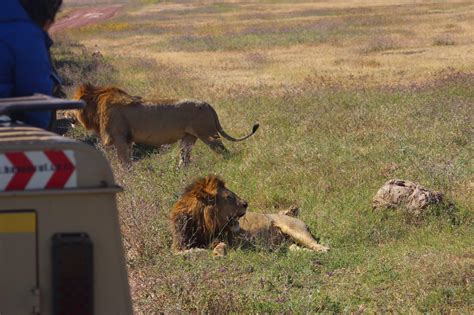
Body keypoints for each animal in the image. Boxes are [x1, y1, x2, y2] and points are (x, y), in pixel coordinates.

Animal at [70, 84, 260, 168]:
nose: (66, 116)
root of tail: (207, 104)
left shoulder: (120, 139)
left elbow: (124, 162)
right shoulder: (126, 141)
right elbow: (128, 160)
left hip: (208, 134)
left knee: (224, 152)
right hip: (189, 138)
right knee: (185, 159)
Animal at [169, 177, 330, 256]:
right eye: (229, 197)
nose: (246, 204)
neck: (202, 223)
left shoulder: (224, 239)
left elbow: (219, 246)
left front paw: (217, 253)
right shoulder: (176, 246)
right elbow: (182, 252)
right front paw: (201, 251)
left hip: (297, 231)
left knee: (320, 246)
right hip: (288, 244)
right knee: (296, 249)